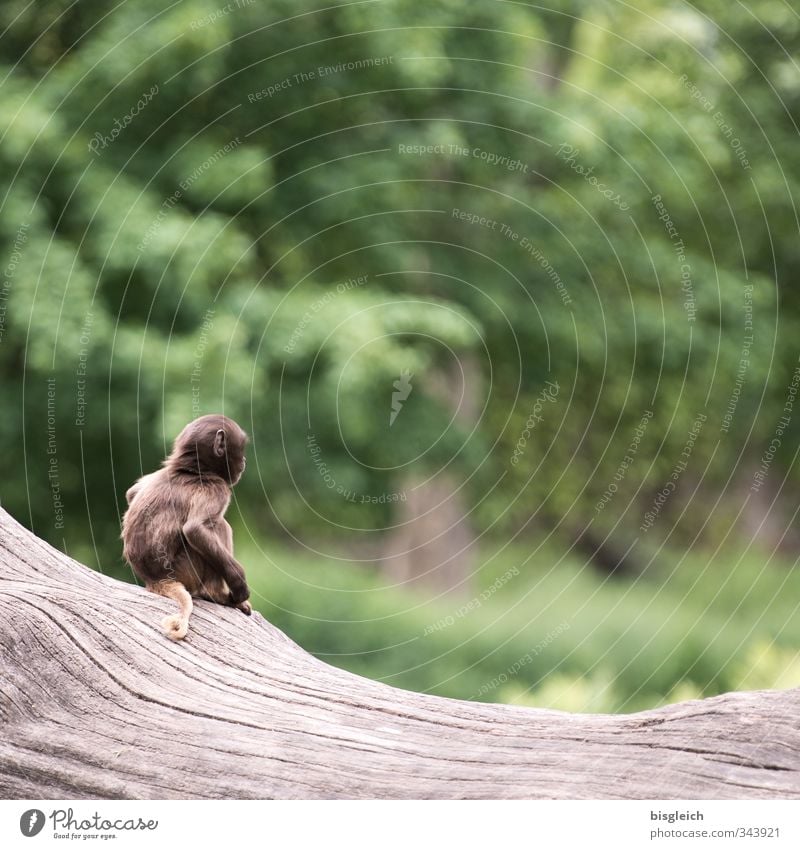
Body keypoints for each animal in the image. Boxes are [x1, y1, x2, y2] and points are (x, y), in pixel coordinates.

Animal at [122, 414, 250, 640]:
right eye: (241, 449)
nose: (244, 462)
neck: (191, 470)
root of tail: (155, 579)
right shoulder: (217, 487)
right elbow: (195, 529)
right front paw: (239, 588)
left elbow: (132, 494)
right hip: (186, 569)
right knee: (218, 525)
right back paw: (215, 594)